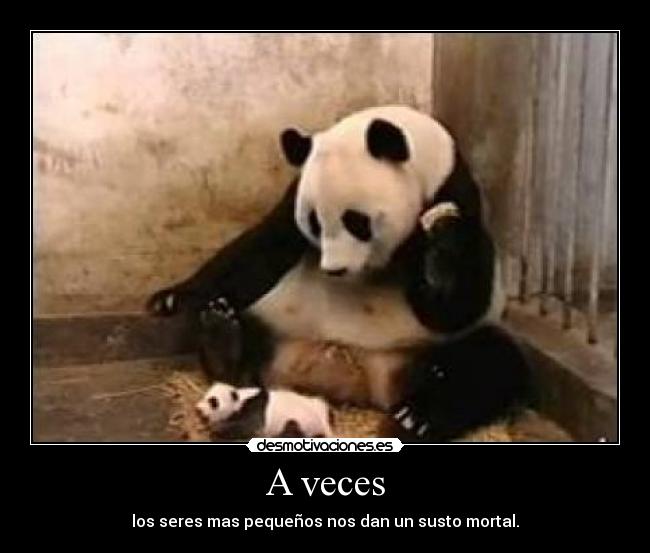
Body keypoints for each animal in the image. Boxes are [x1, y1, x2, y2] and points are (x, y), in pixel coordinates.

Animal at [147, 105, 530, 442]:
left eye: (356, 221)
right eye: (315, 222)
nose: (335, 269)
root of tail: (346, 377)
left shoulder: (457, 196)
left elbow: (456, 304)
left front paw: (440, 239)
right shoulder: (294, 196)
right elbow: (260, 249)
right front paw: (172, 299)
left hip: (416, 352)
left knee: (489, 362)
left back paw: (416, 418)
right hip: (278, 326)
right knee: (245, 337)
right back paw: (222, 339)